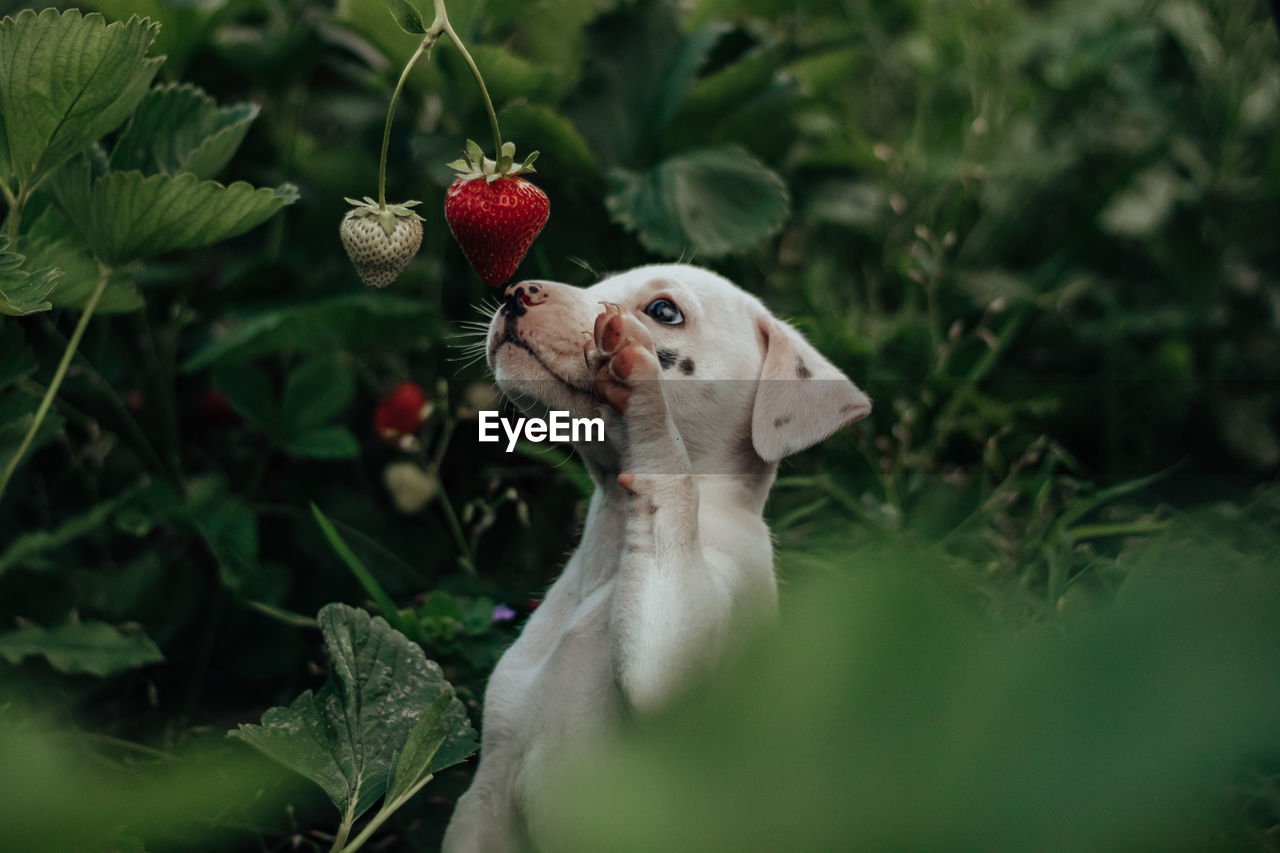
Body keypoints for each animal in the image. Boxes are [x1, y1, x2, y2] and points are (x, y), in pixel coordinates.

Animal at [442, 262, 870, 845]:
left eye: (663, 311)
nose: (517, 291)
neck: (613, 552)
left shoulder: (676, 656)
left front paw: (642, 385)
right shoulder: (484, 798)